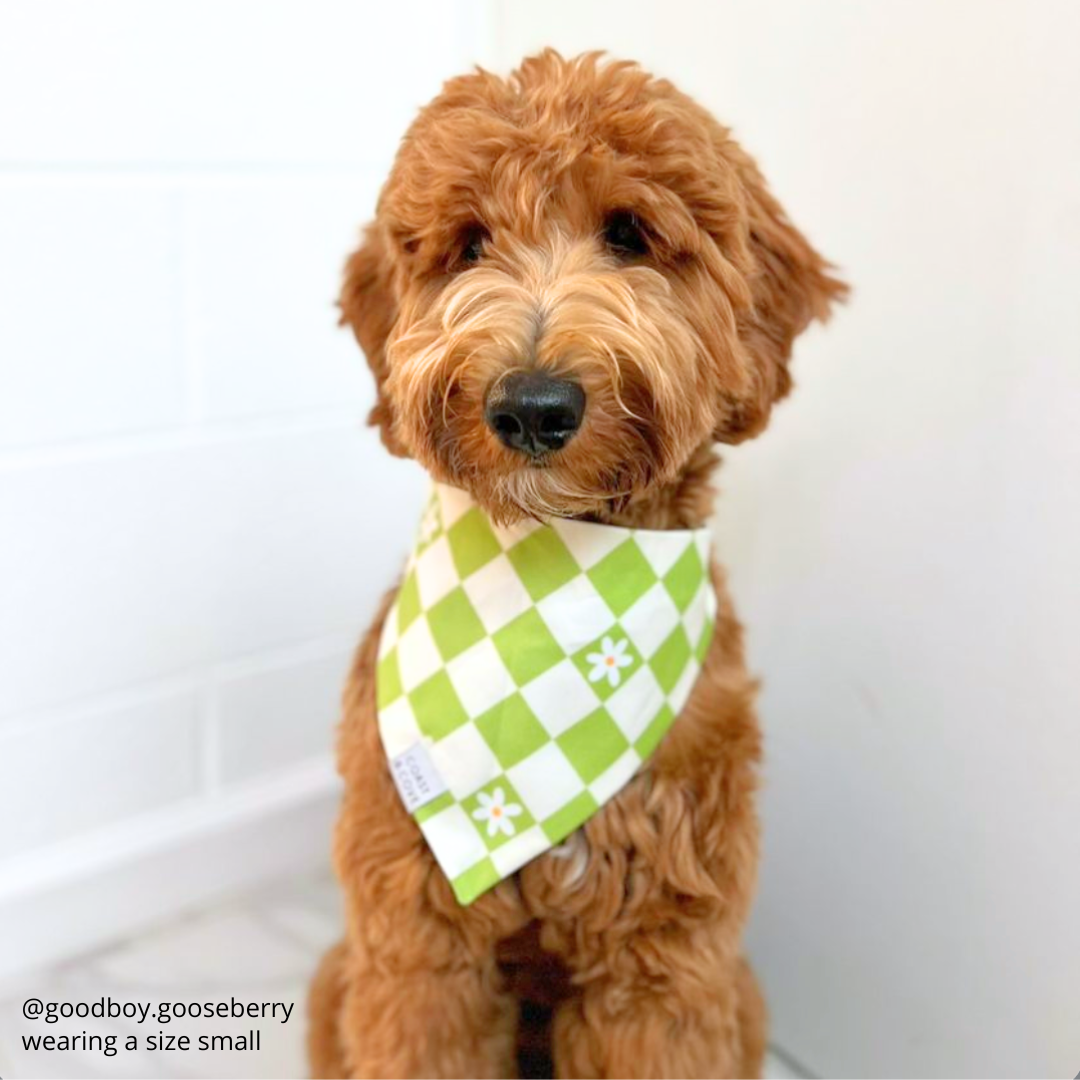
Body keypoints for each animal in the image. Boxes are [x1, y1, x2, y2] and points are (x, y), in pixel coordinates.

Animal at [308, 46, 846, 1075]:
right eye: (468, 243)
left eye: (630, 233)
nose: (532, 405)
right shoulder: (414, 936)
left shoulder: (669, 950)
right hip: (333, 982)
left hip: (740, 997)